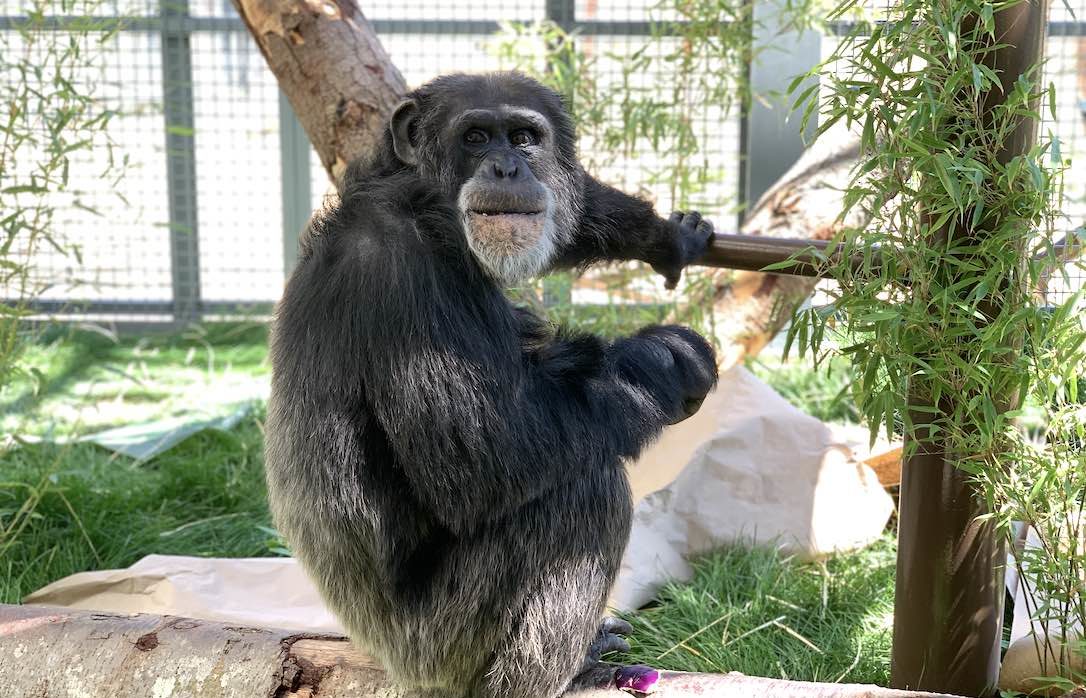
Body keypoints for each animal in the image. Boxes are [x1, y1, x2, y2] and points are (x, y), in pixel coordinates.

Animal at [265, 72, 718, 698]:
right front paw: (667, 359)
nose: (506, 168)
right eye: (476, 137)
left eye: (524, 137)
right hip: (443, 644)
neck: (428, 213)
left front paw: (666, 238)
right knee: (583, 493)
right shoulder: (399, 277)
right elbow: (495, 455)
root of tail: (384, 655)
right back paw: (571, 672)